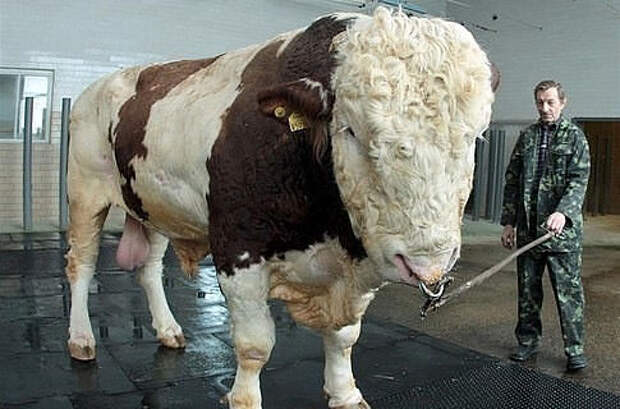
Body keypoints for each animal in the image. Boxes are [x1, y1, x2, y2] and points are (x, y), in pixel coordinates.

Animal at [65, 7, 497, 409]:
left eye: (475, 137)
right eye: (351, 130)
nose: (428, 263)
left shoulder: (355, 268)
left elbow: (344, 337)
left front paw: (345, 393)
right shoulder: (238, 251)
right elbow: (255, 345)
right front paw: (244, 399)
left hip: (151, 205)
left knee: (150, 269)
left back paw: (168, 330)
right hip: (85, 192)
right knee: (81, 266)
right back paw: (81, 338)